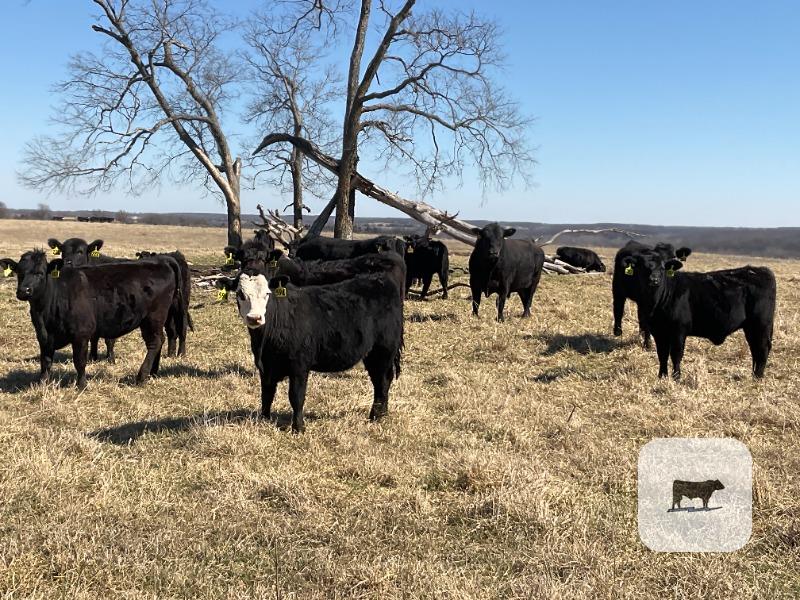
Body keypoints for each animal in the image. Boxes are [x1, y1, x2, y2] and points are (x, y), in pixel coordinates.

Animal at [0, 250, 182, 388]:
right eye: (19, 273)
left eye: (40, 273)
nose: (24, 291)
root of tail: (161, 260)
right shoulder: (43, 336)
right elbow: (45, 362)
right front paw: (42, 384)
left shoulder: (81, 334)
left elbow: (79, 361)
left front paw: (81, 385)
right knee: (160, 340)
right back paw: (153, 372)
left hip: (153, 317)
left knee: (154, 342)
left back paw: (142, 376)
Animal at [215, 271, 404, 433]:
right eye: (240, 294)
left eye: (267, 294)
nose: (255, 318)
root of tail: (380, 279)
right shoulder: (266, 367)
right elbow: (266, 394)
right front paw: (264, 419)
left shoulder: (299, 366)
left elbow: (296, 397)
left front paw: (298, 428)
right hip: (373, 354)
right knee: (381, 381)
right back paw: (382, 414)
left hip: (384, 350)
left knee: (382, 381)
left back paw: (375, 416)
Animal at [620, 252, 775, 379]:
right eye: (642, 267)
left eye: (663, 268)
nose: (654, 280)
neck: (656, 302)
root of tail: (760, 270)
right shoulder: (658, 331)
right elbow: (662, 354)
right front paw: (662, 376)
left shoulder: (679, 331)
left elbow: (676, 354)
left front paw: (676, 377)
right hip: (751, 328)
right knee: (755, 348)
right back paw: (754, 374)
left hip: (761, 324)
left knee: (762, 348)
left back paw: (758, 377)